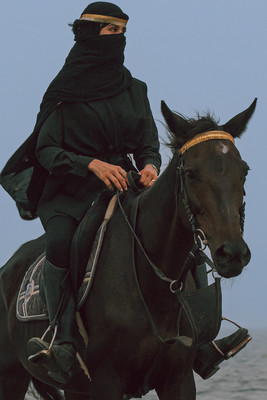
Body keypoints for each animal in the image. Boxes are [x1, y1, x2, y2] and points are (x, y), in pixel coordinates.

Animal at [0, 97, 256, 400]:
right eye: (191, 173)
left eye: (244, 170)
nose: (232, 253)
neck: (154, 290)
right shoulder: (106, 382)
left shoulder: (178, 379)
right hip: (12, 375)